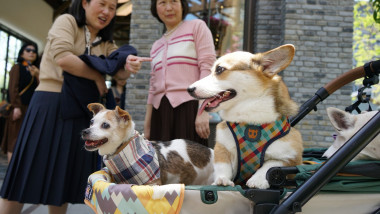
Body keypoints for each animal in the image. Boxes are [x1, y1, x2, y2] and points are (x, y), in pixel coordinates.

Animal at [81, 103, 214, 186]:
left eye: (105, 125)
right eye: (91, 122)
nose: (85, 131)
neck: (123, 147)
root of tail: (211, 151)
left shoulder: (153, 183)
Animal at [187, 44, 302, 189]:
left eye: (219, 69)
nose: (189, 89)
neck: (249, 118)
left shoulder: (292, 158)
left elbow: (270, 165)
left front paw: (257, 180)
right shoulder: (222, 148)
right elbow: (222, 166)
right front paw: (222, 180)